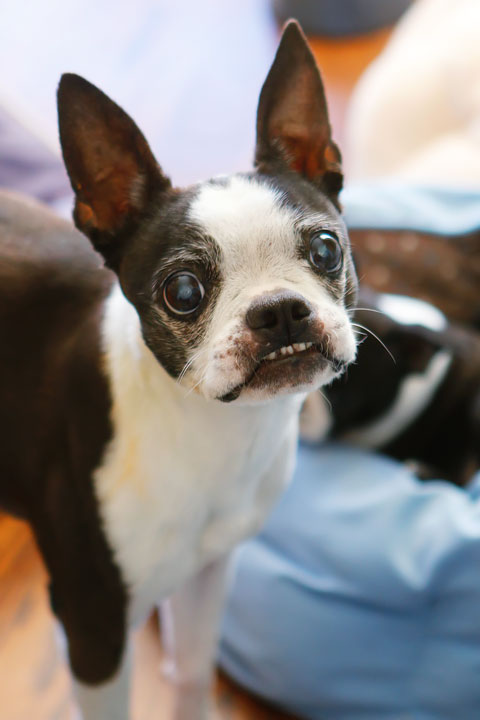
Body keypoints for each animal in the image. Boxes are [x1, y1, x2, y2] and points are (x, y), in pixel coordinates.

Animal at [0, 22, 356, 720]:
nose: (279, 311)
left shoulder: (208, 572)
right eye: (183, 291)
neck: (216, 437)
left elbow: (192, 671)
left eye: (327, 249)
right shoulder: (95, 628)